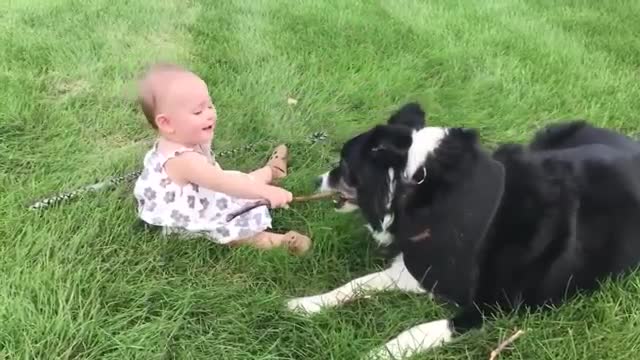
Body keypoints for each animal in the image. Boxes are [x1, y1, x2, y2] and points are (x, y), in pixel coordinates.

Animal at [288, 102, 640, 358]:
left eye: (344, 164)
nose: (316, 181)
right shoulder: (416, 266)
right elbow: (356, 284)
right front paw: (307, 304)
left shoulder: (491, 309)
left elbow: (417, 330)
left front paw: (374, 354)